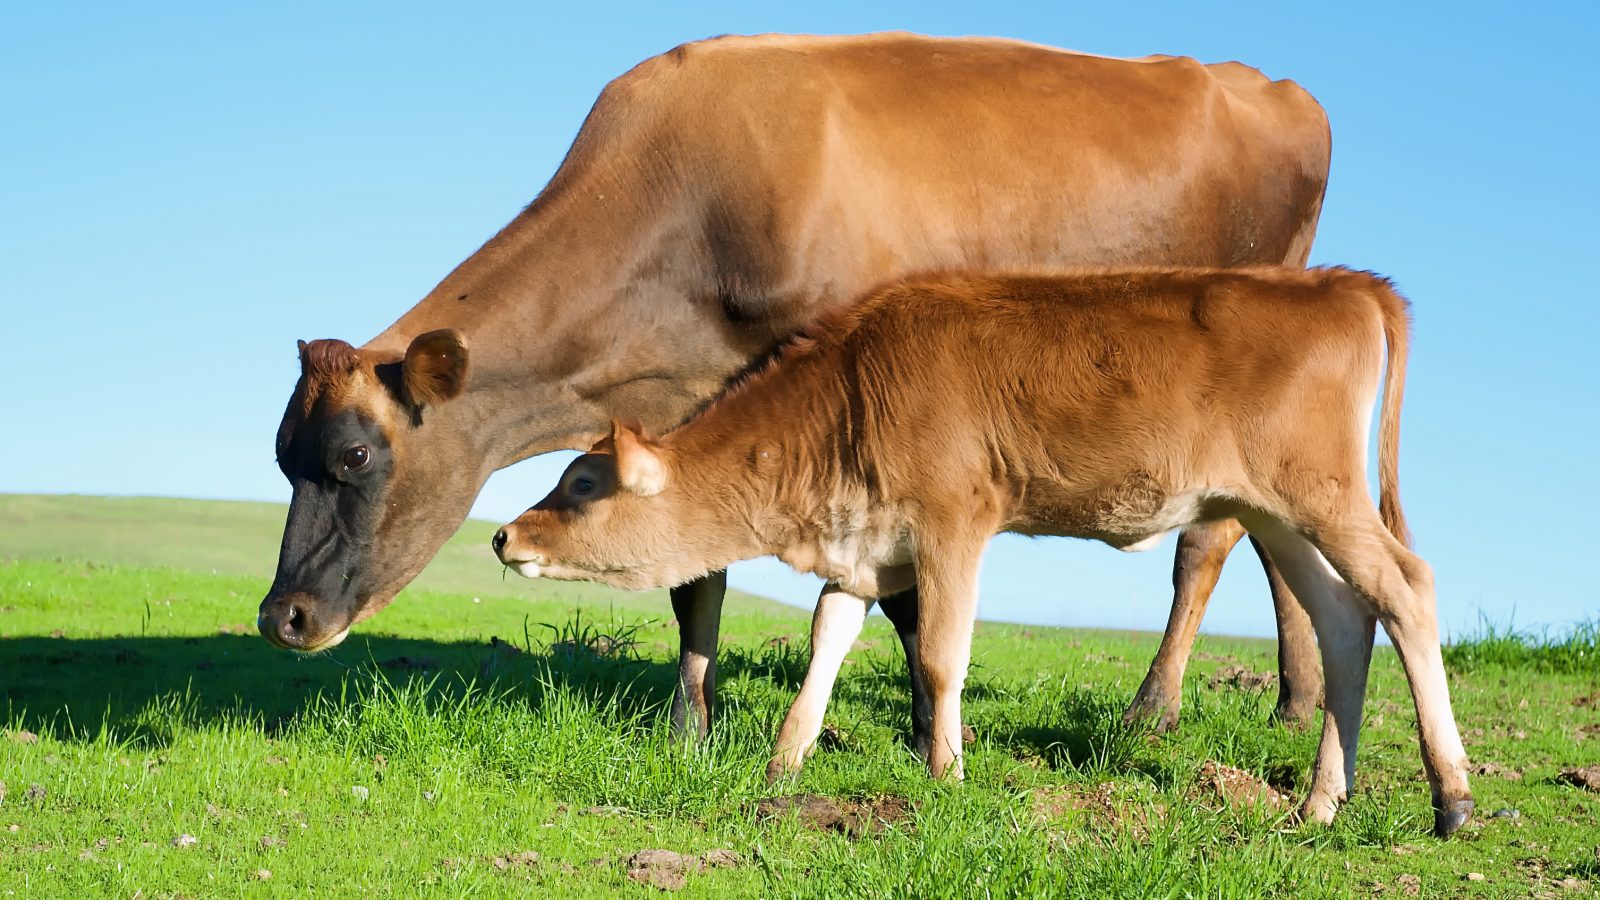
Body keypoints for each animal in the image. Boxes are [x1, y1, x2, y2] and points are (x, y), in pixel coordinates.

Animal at [262, 31, 1331, 755]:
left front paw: (921, 732)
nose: (282, 619)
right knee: (1275, 534)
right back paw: (1295, 700)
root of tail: (1274, 88)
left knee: (1208, 544)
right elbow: (695, 580)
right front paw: (690, 726)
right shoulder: (680, 416)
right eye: (282, 458)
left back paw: (1155, 708)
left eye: (355, 455)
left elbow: (908, 602)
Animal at [489, 264, 1472, 832]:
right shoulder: (867, 549)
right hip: (1273, 510)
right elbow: (823, 648)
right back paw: (1319, 804)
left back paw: (1452, 797)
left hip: (1321, 495)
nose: (502, 533)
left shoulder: (955, 521)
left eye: (582, 485)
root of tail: (1342, 283)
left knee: (1407, 589)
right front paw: (782, 766)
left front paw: (947, 776)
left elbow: (938, 656)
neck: (847, 396)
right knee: (1344, 619)